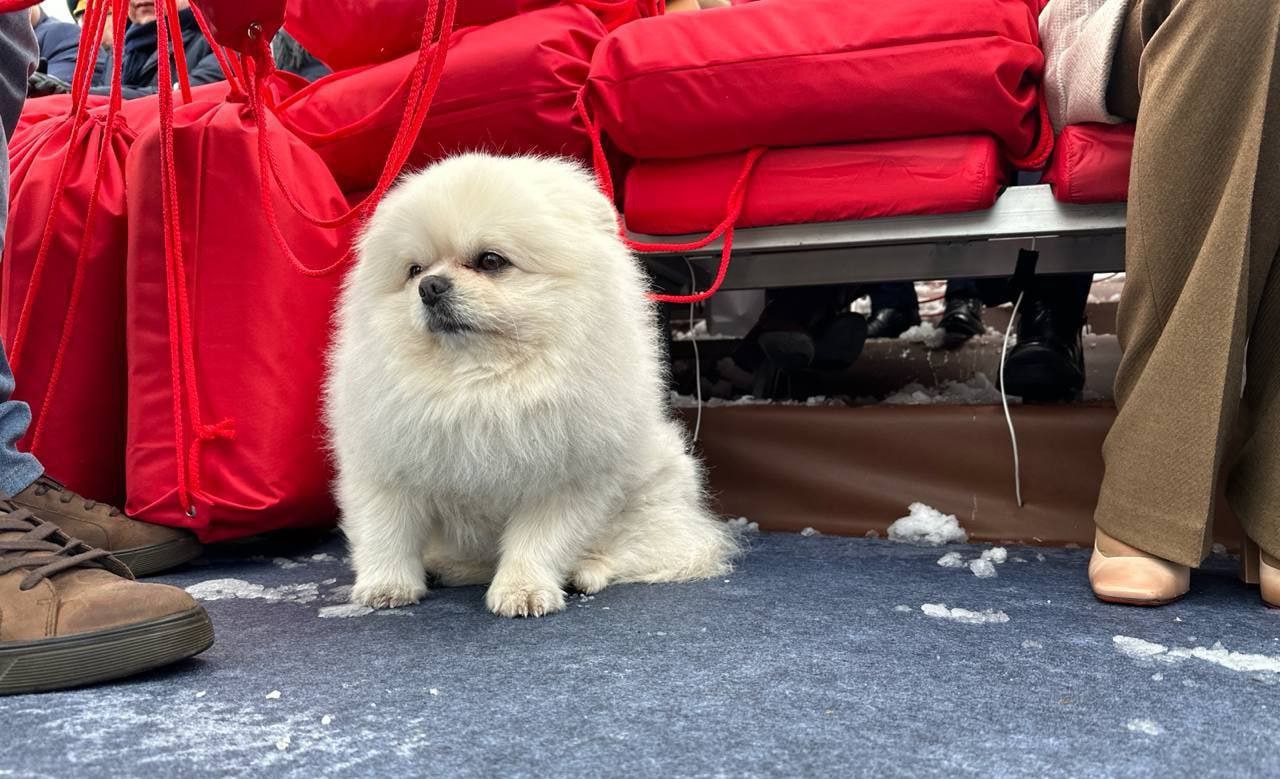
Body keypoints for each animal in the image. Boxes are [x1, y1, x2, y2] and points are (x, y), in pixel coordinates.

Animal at [325, 153, 737, 613]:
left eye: (490, 261)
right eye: (414, 270)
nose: (429, 287)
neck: (479, 384)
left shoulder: (563, 481)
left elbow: (538, 543)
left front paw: (522, 590)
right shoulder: (386, 467)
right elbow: (387, 533)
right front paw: (387, 586)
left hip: (652, 499)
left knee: (639, 547)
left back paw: (584, 571)